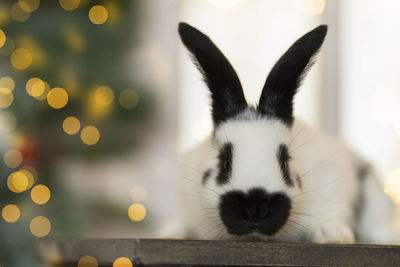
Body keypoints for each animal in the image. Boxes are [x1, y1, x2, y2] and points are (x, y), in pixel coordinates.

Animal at [177, 22, 400, 245]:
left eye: (285, 162)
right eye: (224, 163)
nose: (256, 208)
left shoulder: (333, 181)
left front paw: (332, 234)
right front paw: (174, 230)